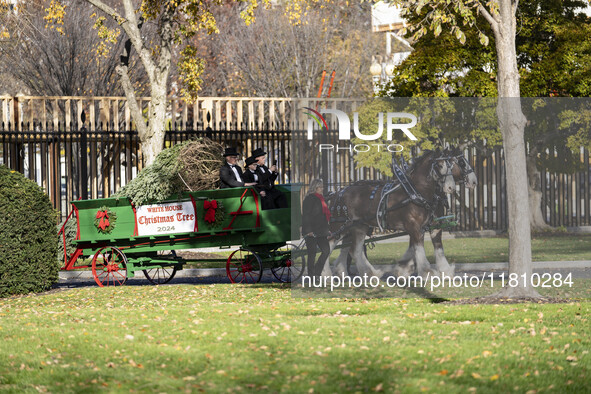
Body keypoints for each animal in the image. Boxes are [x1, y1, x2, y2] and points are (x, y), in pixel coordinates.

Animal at [326, 149, 456, 278]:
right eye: (439, 165)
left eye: (451, 166)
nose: (451, 188)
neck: (415, 193)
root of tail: (337, 193)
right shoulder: (414, 227)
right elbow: (419, 249)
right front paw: (426, 271)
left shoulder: (430, 227)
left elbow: (435, 248)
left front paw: (444, 271)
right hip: (339, 227)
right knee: (329, 245)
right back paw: (327, 275)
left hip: (359, 227)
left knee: (354, 250)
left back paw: (368, 273)